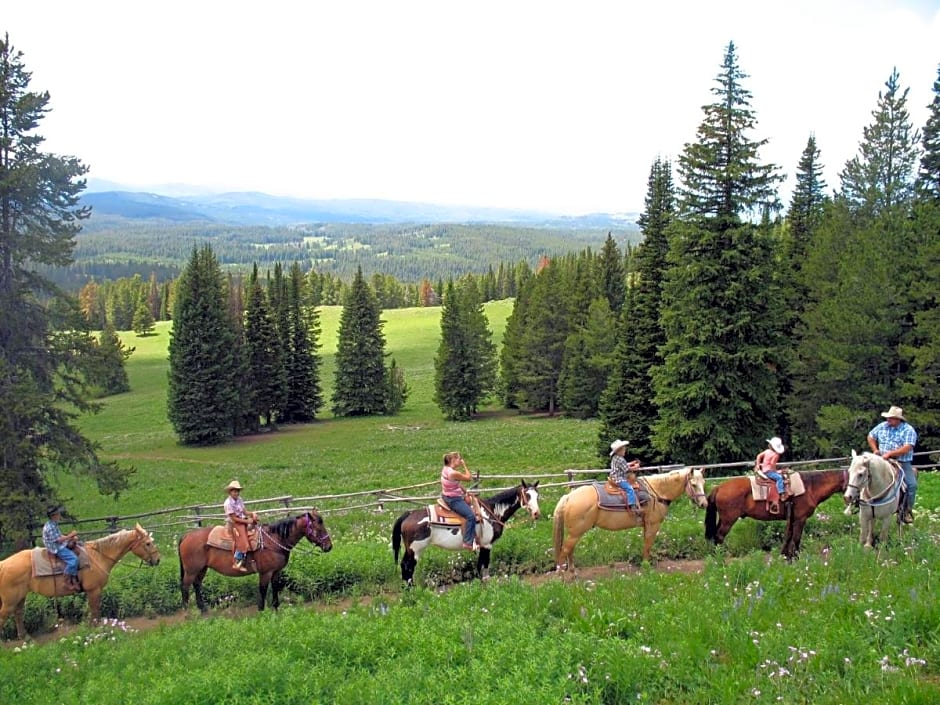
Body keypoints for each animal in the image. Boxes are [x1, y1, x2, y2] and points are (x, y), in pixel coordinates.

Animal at [0, 524, 161, 640]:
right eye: (148, 543)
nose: (158, 559)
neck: (98, 556)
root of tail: (3, 564)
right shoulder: (94, 590)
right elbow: (95, 611)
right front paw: (98, 631)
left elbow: (93, 611)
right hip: (9, 601)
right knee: (4, 616)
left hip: (20, 597)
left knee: (18, 614)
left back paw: (25, 637)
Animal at [178, 508, 332, 612]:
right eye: (319, 528)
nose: (329, 546)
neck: (274, 541)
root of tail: (186, 536)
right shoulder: (265, 572)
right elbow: (263, 590)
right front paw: (261, 610)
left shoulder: (276, 572)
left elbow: (275, 587)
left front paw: (275, 608)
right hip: (191, 570)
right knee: (185, 587)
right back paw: (188, 612)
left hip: (201, 569)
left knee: (197, 585)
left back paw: (203, 609)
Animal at [390, 478, 540, 584]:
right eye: (527, 495)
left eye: (537, 496)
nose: (536, 513)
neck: (491, 512)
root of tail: (408, 514)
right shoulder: (487, 545)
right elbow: (483, 565)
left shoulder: (483, 545)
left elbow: (480, 566)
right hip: (416, 549)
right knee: (409, 567)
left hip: (410, 549)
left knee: (404, 565)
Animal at [552, 468, 704, 572]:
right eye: (694, 484)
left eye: (703, 482)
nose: (704, 504)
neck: (656, 492)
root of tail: (568, 497)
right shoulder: (653, 525)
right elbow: (648, 545)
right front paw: (646, 566)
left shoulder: (646, 525)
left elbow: (645, 545)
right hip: (575, 533)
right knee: (564, 552)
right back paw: (562, 578)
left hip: (574, 534)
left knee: (569, 551)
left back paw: (573, 574)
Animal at [704, 468, 852, 560]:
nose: (851, 498)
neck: (810, 487)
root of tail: (719, 487)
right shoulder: (800, 519)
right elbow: (796, 539)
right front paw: (796, 558)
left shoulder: (792, 518)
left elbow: (789, 536)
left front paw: (786, 556)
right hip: (728, 520)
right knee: (719, 536)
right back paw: (720, 558)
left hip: (723, 520)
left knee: (715, 536)